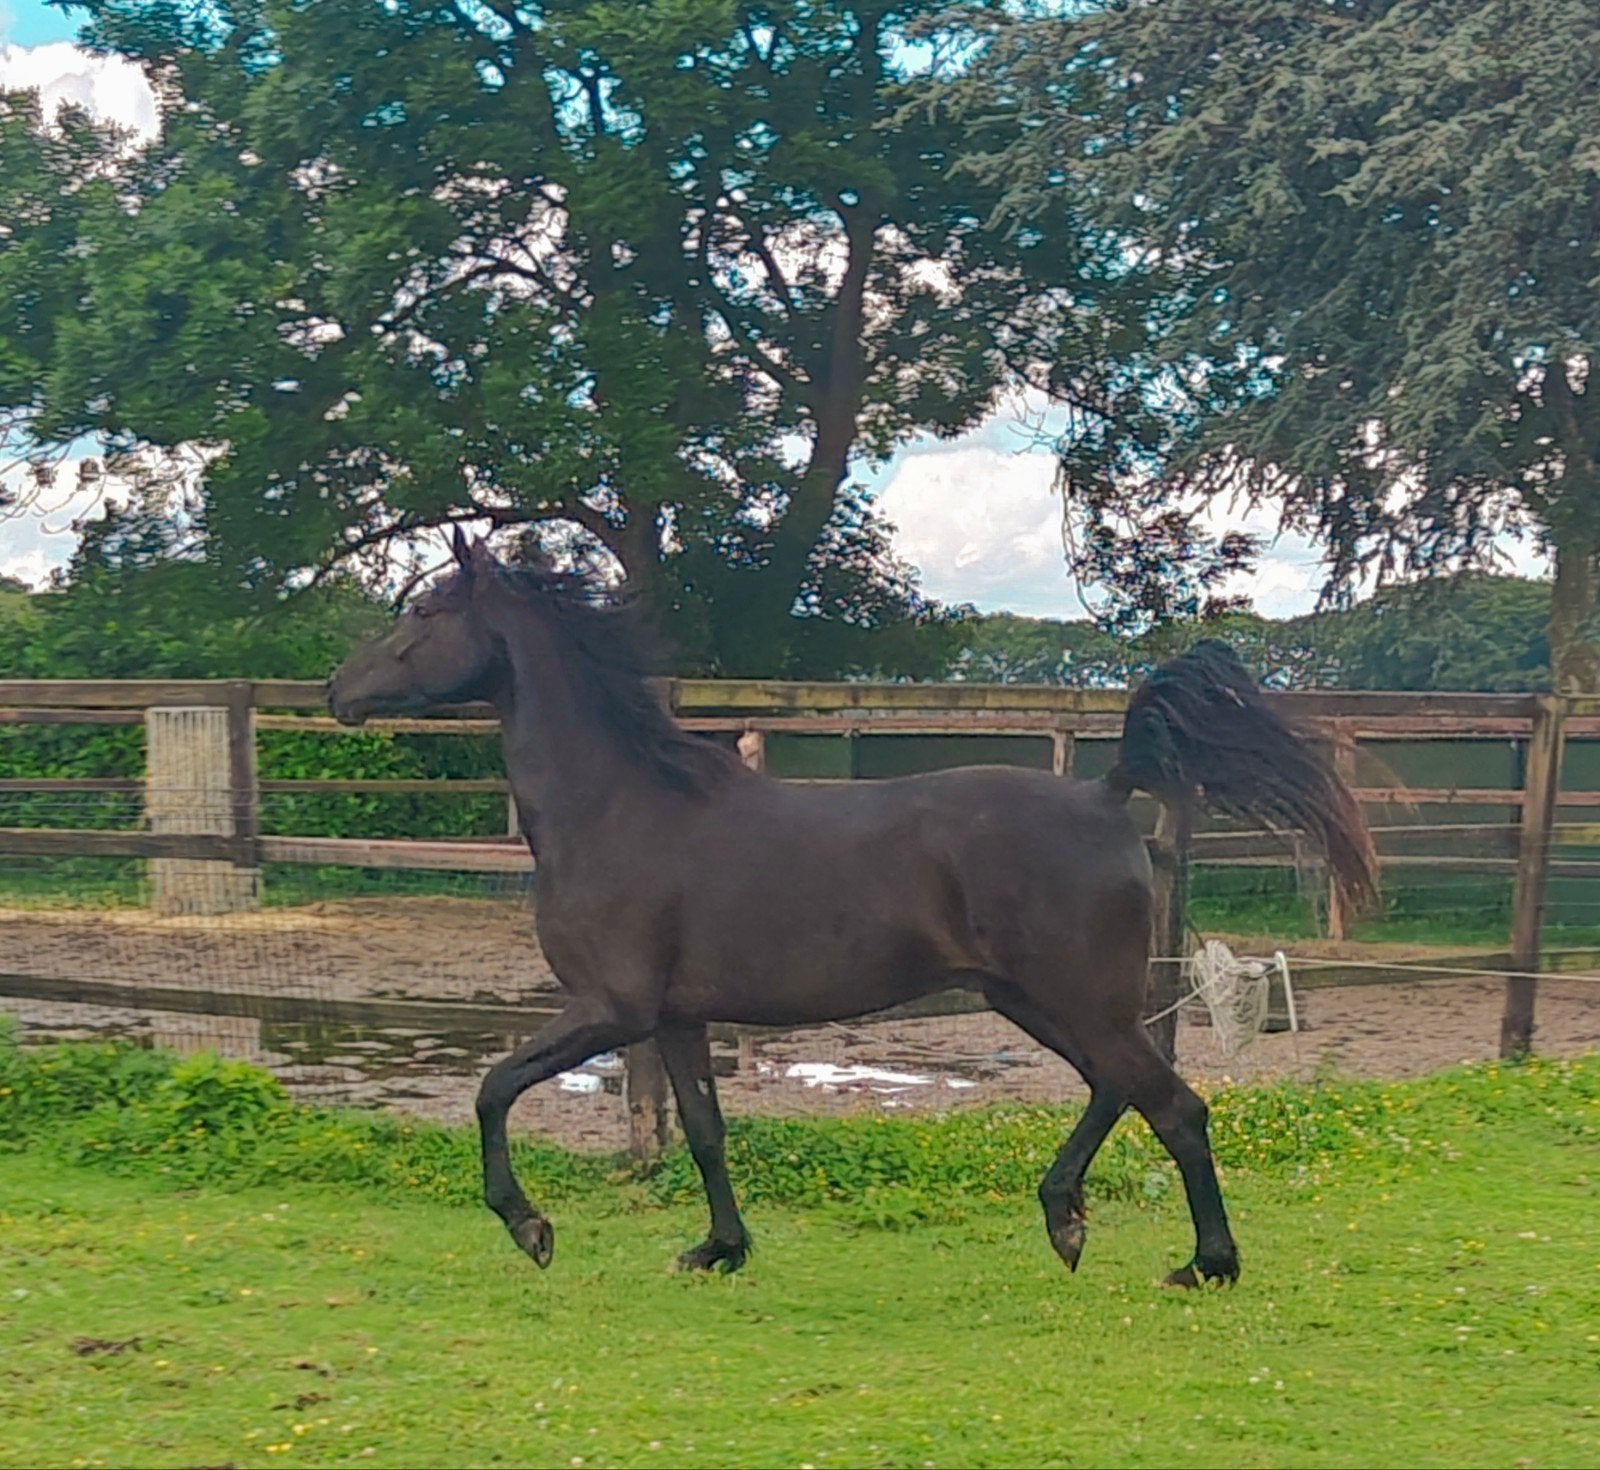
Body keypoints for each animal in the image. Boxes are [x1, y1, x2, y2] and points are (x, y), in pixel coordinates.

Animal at [327, 531, 1376, 1287]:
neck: (618, 806)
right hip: (1032, 1002)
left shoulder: (608, 1009)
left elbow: (493, 1087)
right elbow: (705, 1131)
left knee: (1174, 1106)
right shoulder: (674, 1016)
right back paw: (1066, 1219)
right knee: (1119, 1091)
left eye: (422, 609)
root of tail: (1106, 791)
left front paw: (532, 1227)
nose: (339, 690)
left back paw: (1203, 1264)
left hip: (1074, 1001)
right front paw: (718, 1250)